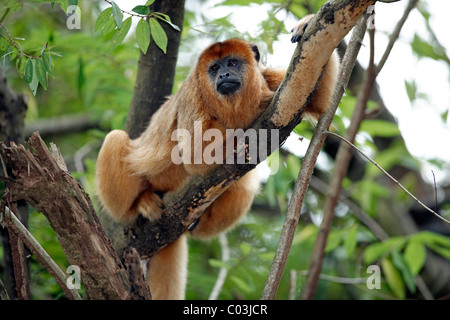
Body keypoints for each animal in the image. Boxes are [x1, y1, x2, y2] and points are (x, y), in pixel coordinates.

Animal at [96, 14, 340, 300]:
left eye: (232, 63)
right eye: (214, 68)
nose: (224, 74)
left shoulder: (266, 76)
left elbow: (316, 98)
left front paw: (307, 25)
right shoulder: (193, 92)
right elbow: (195, 153)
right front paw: (259, 105)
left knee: (245, 184)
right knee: (115, 140)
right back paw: (140, 203)